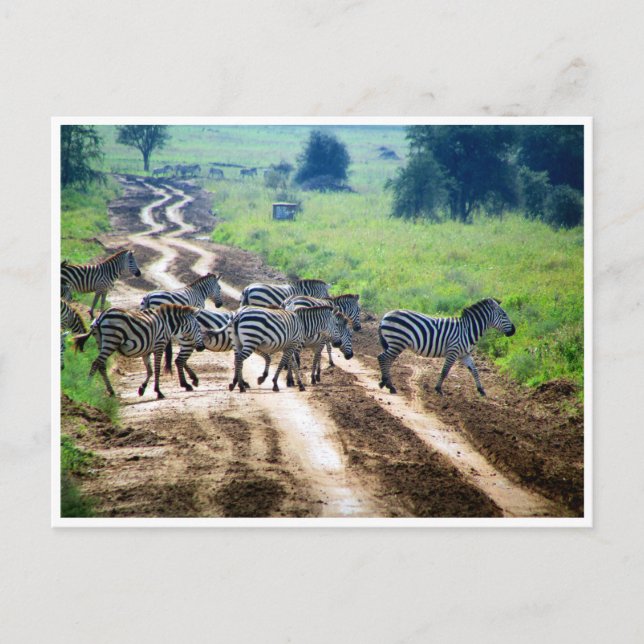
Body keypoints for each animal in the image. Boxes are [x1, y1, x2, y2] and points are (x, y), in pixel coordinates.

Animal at [73, 304, 205, 399]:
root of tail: (102, 315)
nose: (201, 347)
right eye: (198, 327)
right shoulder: (159, 345)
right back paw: (87, 387)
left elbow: (150, 371)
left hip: (102, 342)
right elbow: (157, 370)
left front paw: (142, 389)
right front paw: (158, 392)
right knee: (96, 363)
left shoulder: (147, 351)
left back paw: (111, 391)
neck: (167, 324)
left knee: (101, 365)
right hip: (111, 340)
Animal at [377, 298, 516, 397]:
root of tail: (385, 316)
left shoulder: (465, 354)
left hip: (395, 343)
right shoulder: (453, 351)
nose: (514, 331)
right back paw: (388, 385)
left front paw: (481, 390)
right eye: (504, 315)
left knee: (387, 359)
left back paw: (386, 383)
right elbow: (445, 371)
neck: (468, 330)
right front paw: (438, 389)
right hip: (398, 341)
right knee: (382, 357)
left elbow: (475, 370)